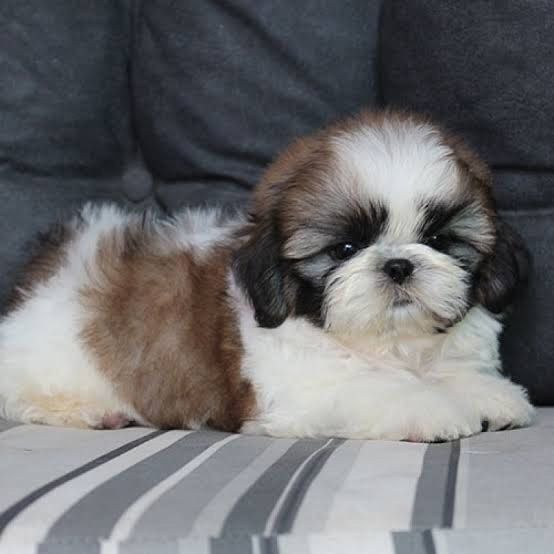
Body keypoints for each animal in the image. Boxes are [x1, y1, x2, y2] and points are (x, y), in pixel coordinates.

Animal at [1, 111, 536, 440]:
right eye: (345, 249)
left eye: (440, 240)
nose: (399, 264)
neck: (393, 344)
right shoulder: (305, 388)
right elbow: (379, 389)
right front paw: (431, 408)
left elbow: (453, 371)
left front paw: (489, 395)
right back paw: (86, 411)